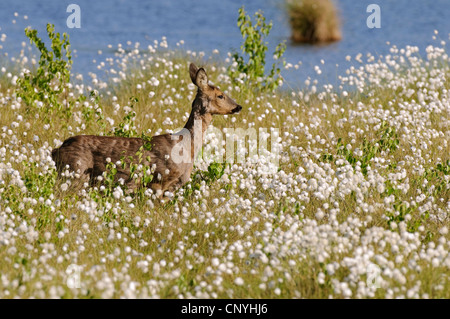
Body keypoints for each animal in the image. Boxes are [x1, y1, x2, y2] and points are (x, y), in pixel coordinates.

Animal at [51, 63, 243, 198]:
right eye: (220, 95)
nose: (238, 106)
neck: (185, 146)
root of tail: (56, 150)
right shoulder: (160, 181)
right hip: (75, 172)